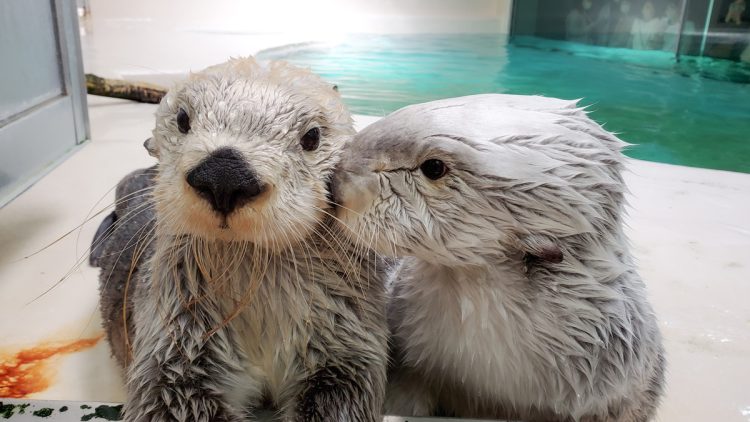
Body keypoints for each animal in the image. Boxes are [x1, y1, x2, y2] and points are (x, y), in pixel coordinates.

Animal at [91, 58, 390, 422]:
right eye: (183, 118)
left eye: (312, 136)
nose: (224, 175)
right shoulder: (174, 346)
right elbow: (173, 400)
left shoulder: (344, 340)